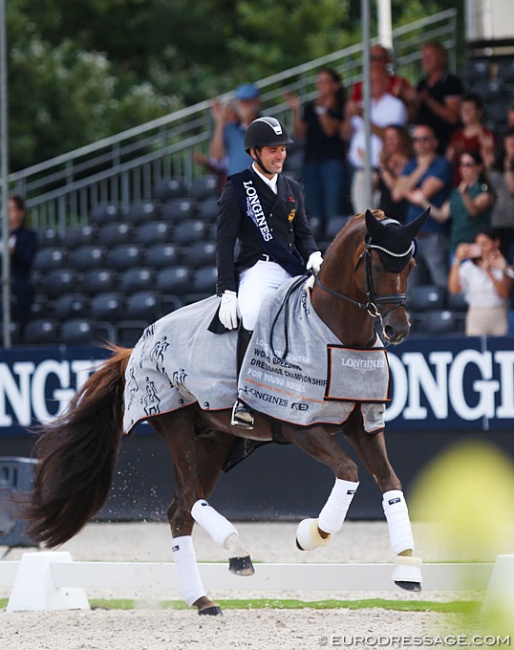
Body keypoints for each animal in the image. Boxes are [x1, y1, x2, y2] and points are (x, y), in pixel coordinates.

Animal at [22, 208, 426, 612]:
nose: (398, 328)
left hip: (214, 440)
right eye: (376, 263)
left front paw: (408, 569)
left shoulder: (364, 425)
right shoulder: (299, 425)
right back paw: (237, 552)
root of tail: (137, 346)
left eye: (411, 265)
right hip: (175, 423)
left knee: (181, 510)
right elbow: (348, 472)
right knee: (188, 498)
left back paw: (204, 598)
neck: (337, 336)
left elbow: (391, 483)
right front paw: (311, 533)